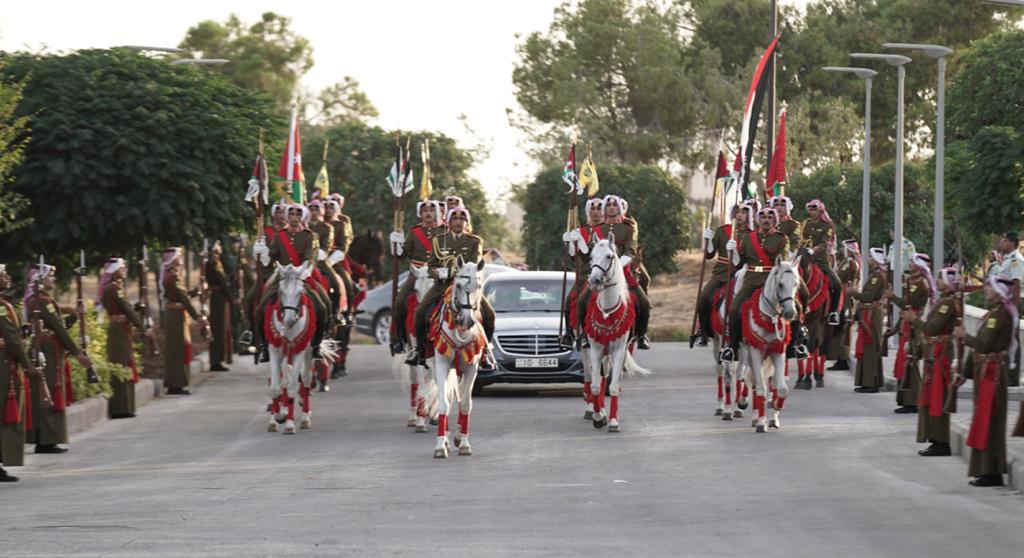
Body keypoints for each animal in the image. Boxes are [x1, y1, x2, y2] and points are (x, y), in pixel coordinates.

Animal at [425, 259, 485, 458]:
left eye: (479, 286)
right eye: (458, 285)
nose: (466, 321)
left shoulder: (471, 368)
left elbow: (466, 404)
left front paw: (464, 443)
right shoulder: (442, 365)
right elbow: (443, 404)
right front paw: (440, 446)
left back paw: (457, 436)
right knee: (446, 398)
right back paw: (446, 438)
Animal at [585, 237, 647, 432]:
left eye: (609, 256)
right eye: (591, 256)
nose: (594, 280)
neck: (607, 311)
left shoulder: (620, 350)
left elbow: (613, 386)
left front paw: (613, 421)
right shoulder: (595, 349)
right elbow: (595, 385)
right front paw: (598, 417)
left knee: (610, 379)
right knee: (599, 378)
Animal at [737, 256, 798, 430]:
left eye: (796, 284)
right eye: (780, 284)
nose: (790, 313)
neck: (770, 319)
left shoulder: (778, 352)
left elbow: (781, 388)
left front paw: (776, 408)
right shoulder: (756, 352)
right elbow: (760, 388)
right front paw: (761, 422)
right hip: (746, 354)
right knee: (751, 380)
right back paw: (752, 414)